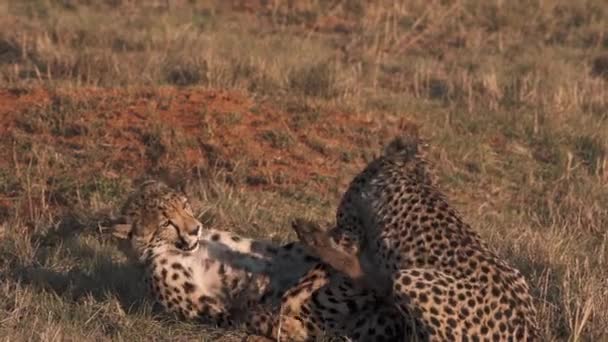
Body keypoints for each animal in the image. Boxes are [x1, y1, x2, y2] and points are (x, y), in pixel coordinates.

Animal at [292, 137, 540, 342]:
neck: (414, 166)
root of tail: (530, 332)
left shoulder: (349, 231)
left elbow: (342, 251)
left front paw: (313, 238)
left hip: (408, 279)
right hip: (517, 274)